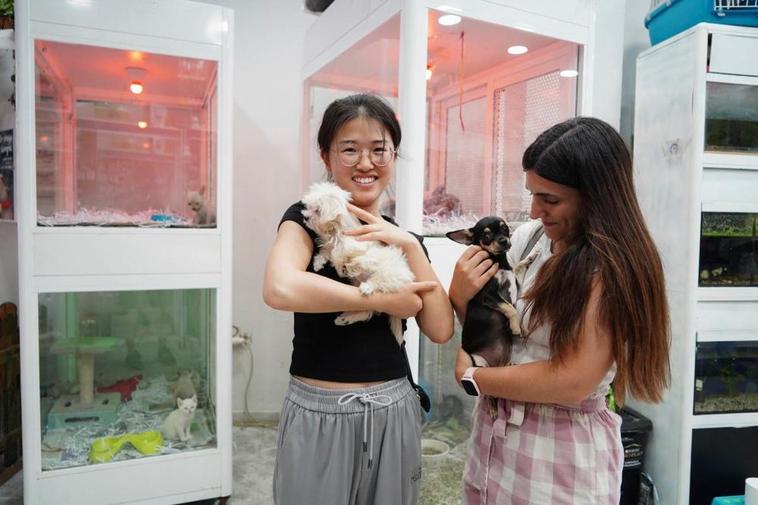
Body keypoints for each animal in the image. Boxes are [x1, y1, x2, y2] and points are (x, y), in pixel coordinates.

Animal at [302, 179, 416, 344]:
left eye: (317, 210)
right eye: (308, 207)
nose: (305, 217)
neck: (336, 229)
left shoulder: (356, 243)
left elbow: (341, 251)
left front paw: (342, 266)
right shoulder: (329, 244)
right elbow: (326, 252)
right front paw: (319, 264)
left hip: (388, 272)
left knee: (379, 282)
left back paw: (366, 286)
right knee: (367, 311)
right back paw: (345, 319)